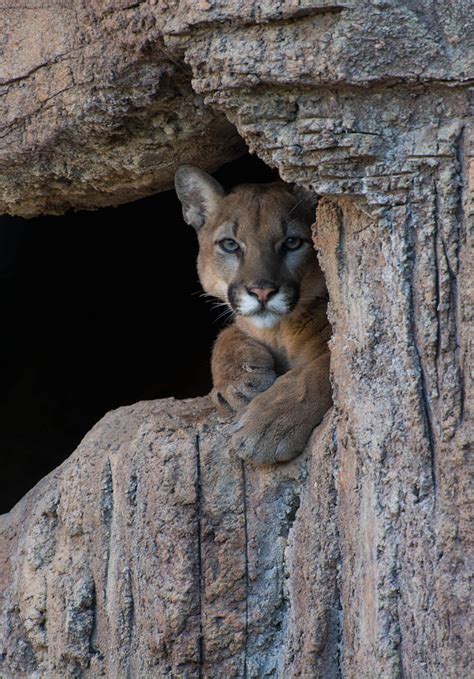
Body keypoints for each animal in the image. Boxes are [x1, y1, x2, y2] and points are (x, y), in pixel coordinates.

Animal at [176, 165, 332, 464]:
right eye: (230, 245)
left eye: (292, 242)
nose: (262, 291)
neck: (279, 332)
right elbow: (226, 334)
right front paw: (238, 384)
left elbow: (321, 369)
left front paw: (270, 424)